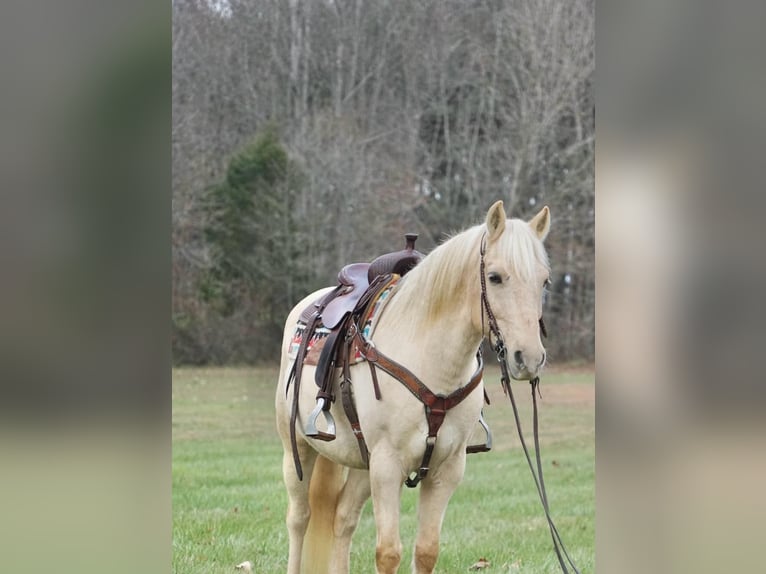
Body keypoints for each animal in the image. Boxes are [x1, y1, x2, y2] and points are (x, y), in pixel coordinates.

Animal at [274, 200, 552, 574]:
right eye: (495, 277)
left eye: (544, 281)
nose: (529, 358)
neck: (431, 361)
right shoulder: (388, 466)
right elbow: (388, 552)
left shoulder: (445, 470)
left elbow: (427, 550)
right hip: (299, 450)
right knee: (299, 519)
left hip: (362, 462)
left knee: (342, 519)